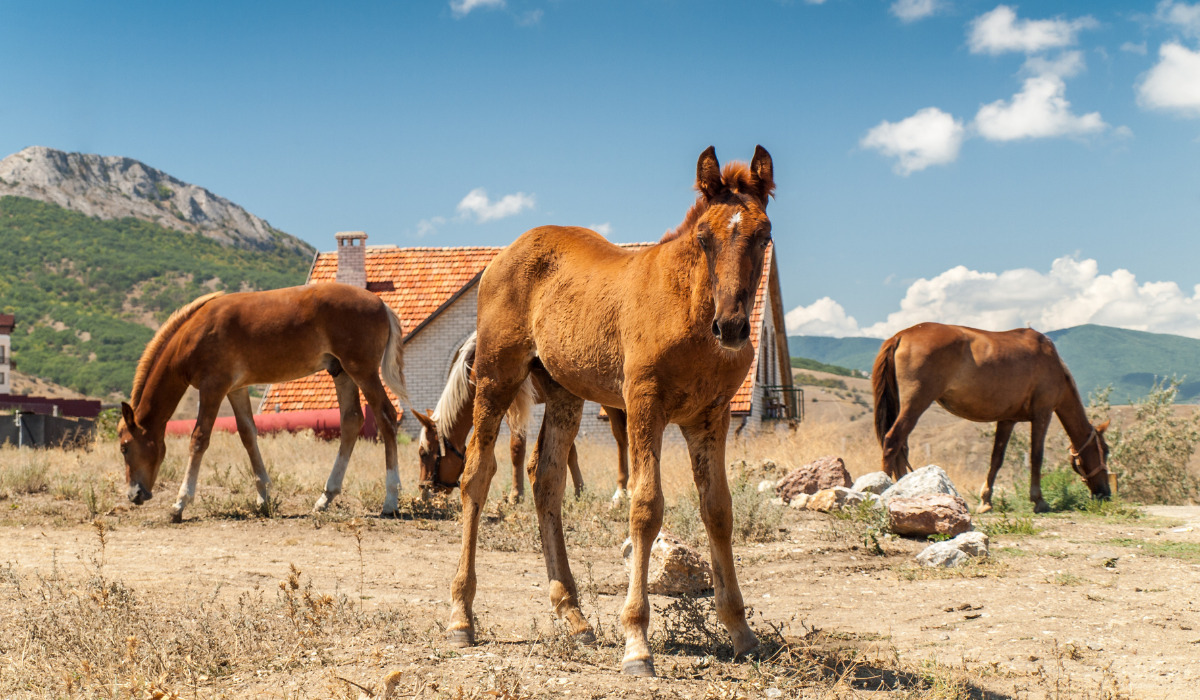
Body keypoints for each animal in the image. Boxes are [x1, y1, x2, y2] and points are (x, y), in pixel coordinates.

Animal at [118, 283, 408, 522]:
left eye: (124, 447)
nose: (134, 494)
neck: (194, 333)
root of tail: (381, 304)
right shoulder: (236, 389)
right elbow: (248, 434)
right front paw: (264, 497)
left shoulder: (213, 387)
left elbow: (199, 439)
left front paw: (180, 503)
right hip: (341, 372)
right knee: (351, 421)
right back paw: (325, 498)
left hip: (363, 371)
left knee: (386, 416)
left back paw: (390, 500)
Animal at [411, 331, 631, 503]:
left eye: (423, 453)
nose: (423, 493)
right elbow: (569, 451)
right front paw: (579, 491)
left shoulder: (517, 404)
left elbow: (517, 448)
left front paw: (516, 494)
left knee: (622, 437)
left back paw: (622, 490)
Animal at [446, 145, 774, 677]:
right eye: (704, 238)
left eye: (763, 236)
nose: (731, 327)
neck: (687, 307)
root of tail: (503, 256)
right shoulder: (644, 406)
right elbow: (646, 507)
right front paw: (637, 642)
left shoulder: (711, 418)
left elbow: (718, 510)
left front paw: (741, 631)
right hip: (496, 379)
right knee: (476, 474)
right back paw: (461, 617)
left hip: (563, 392)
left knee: (546, 479)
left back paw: (574, 616)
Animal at [872, 322, 1111, 514]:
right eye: (1106, 451)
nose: (1106, 494)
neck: (1051, 362)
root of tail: (901, 335)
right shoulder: (1042, 415)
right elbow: (1036, 457)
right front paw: (1039, 501)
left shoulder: (1007, 420)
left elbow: (996, 459)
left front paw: (986, 501)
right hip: (915, 404)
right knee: (893, 441)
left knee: (901, 447)